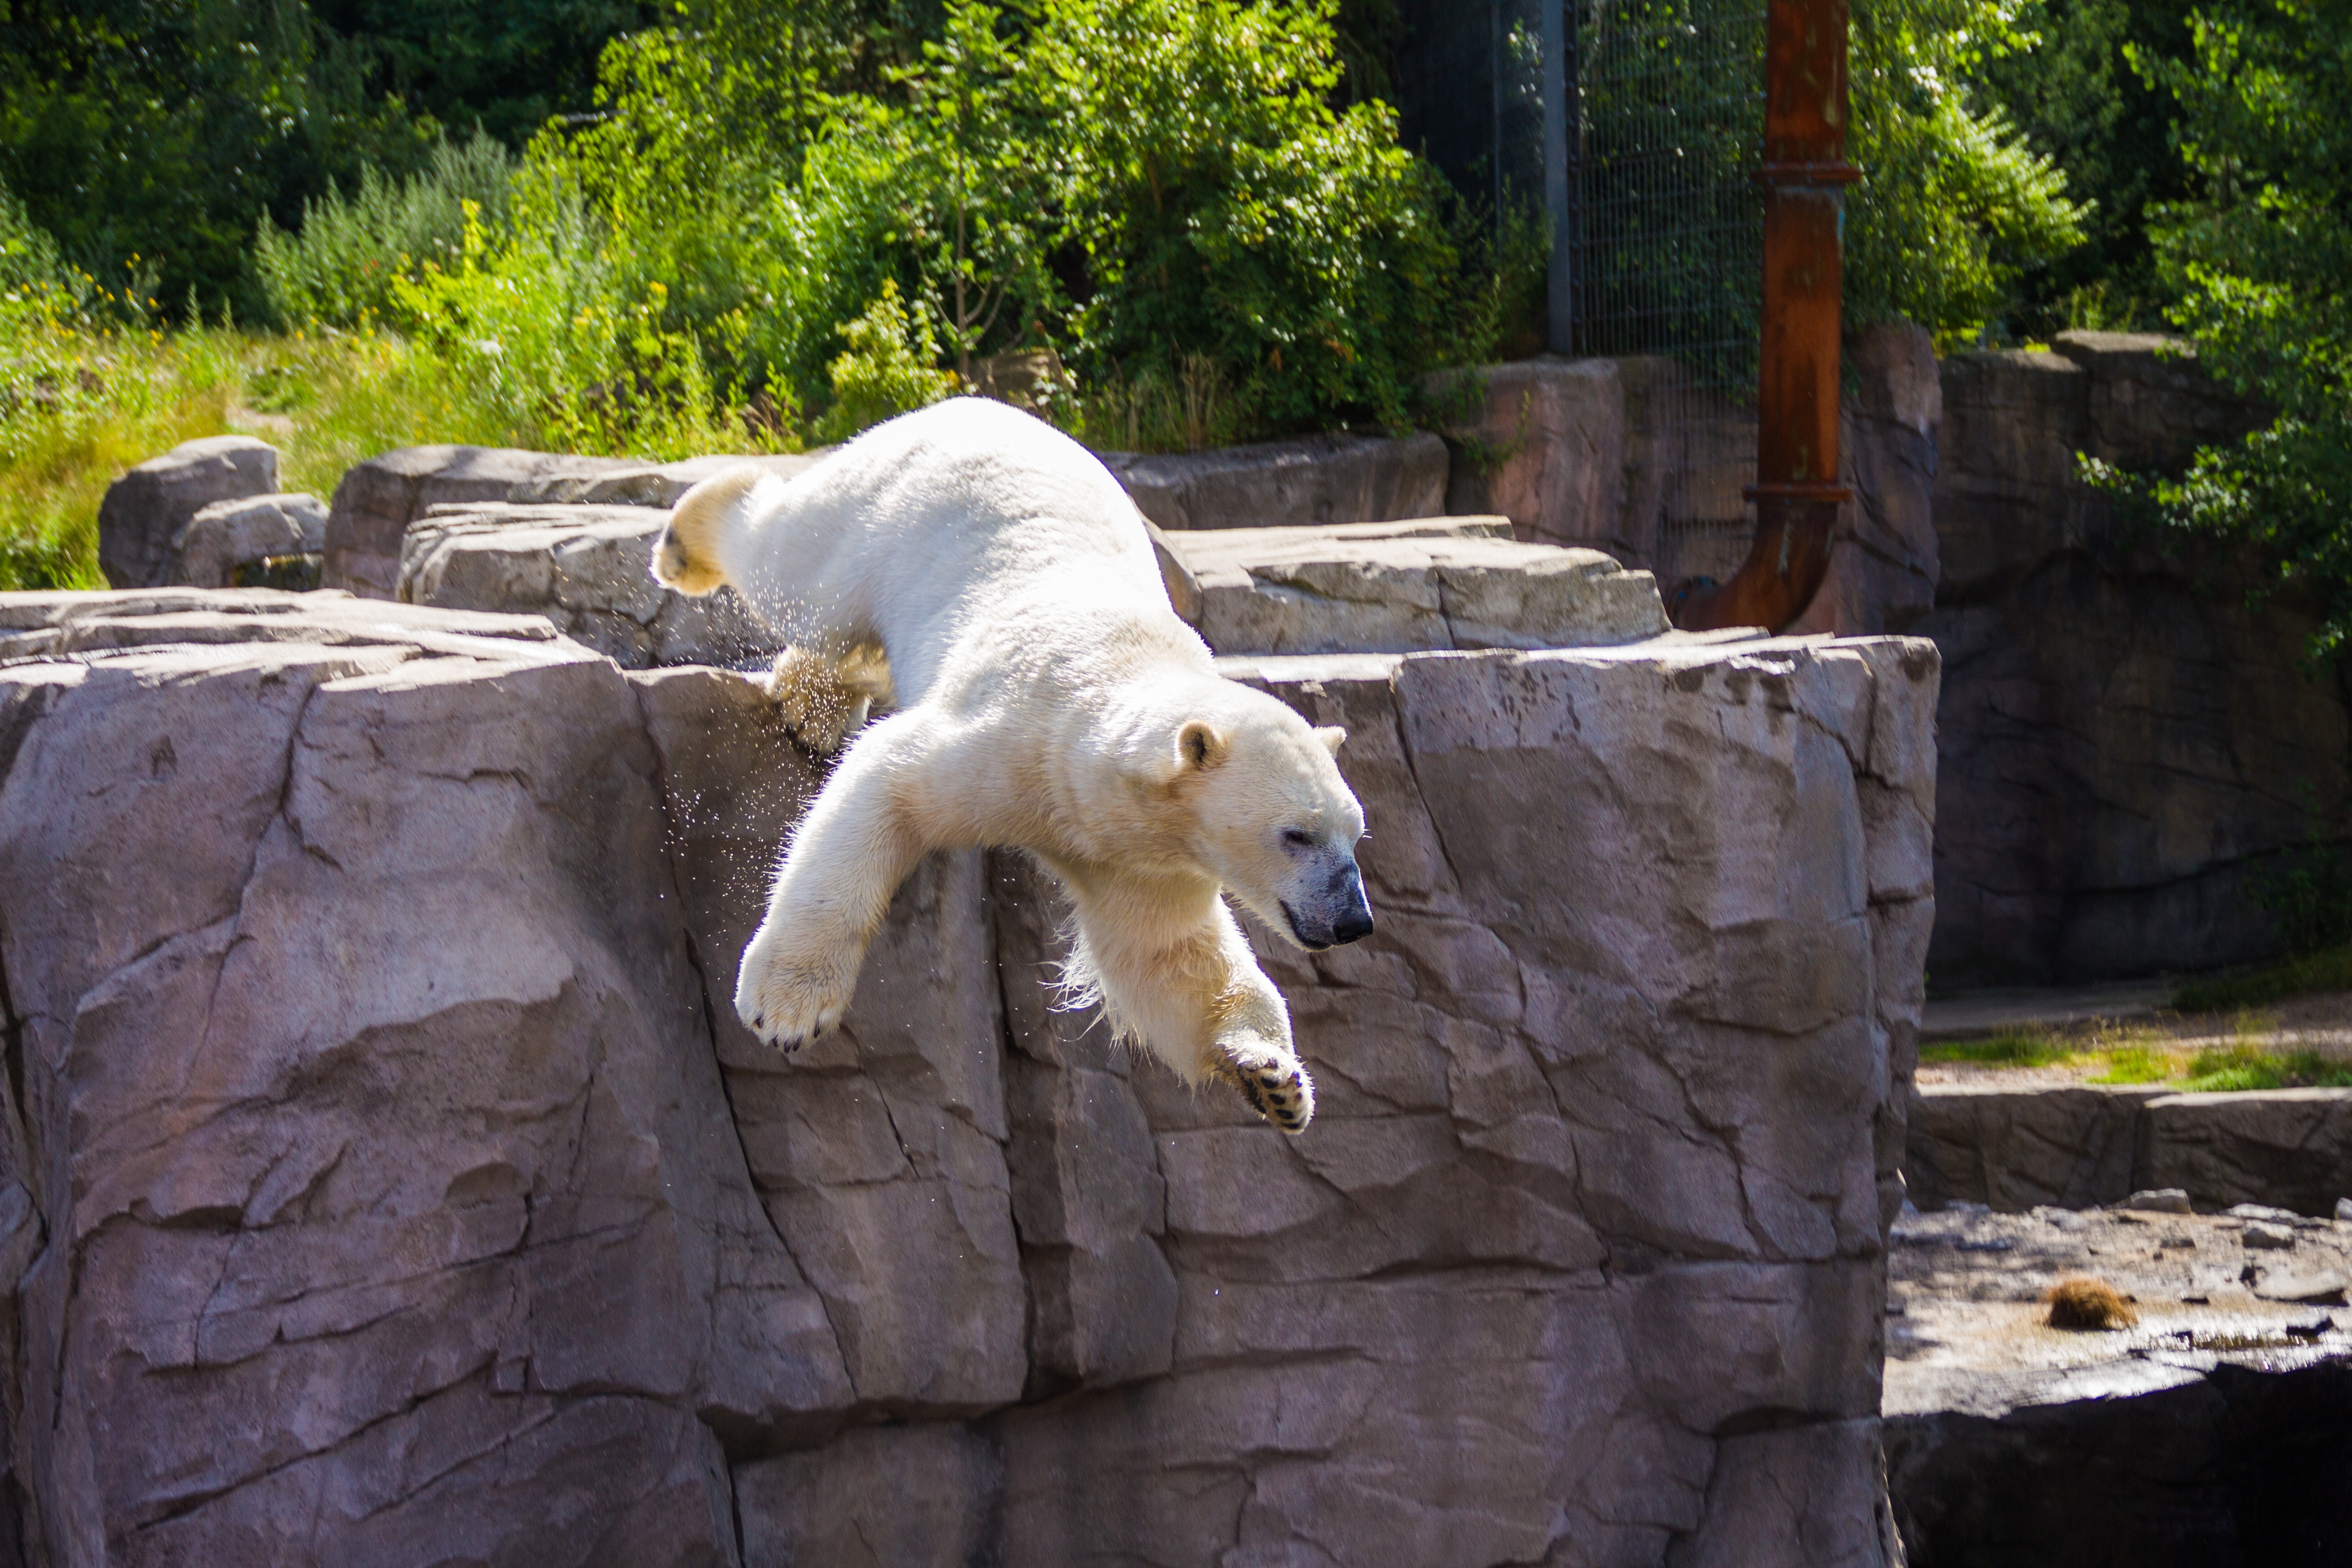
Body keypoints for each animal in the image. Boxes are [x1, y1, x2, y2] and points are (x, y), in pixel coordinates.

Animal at [649, 392, 1373, 1128]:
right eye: (1296, 834)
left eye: (1355, 835)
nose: (1355, 920)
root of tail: (971, 403)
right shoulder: (1016, 736)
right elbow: (886, 783)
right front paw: (788, 1009)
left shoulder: (1137, 855)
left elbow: (1169, 956)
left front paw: (1275, 1079)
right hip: (889, 514)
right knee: (800, 569)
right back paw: (687, 542)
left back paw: (813, 707)